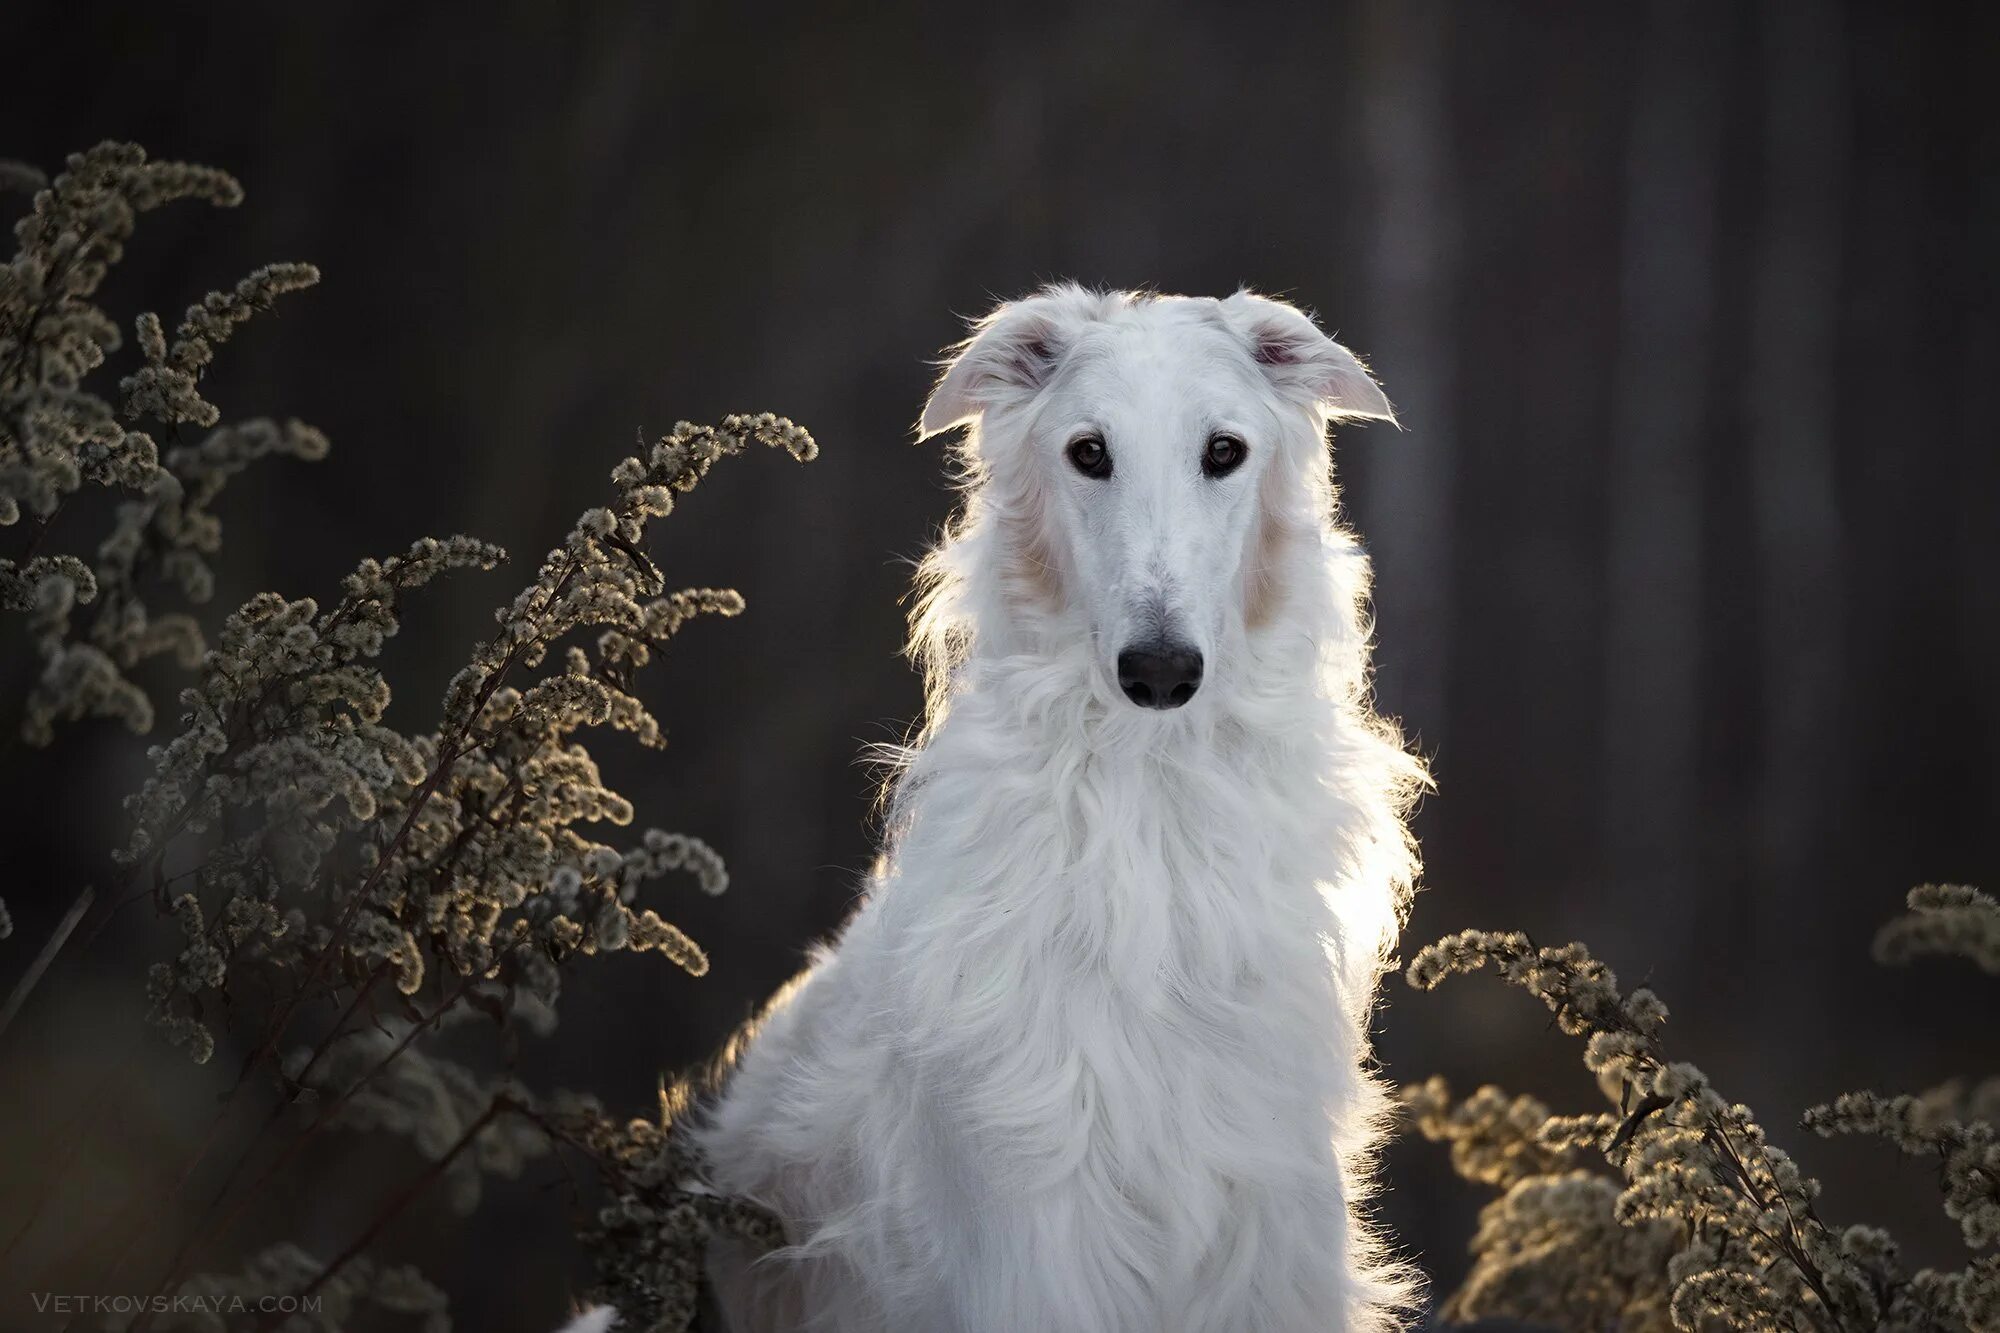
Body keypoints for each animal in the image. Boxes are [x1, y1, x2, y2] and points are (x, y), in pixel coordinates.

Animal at [688, 286, 1424, 1320]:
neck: (1150, 804)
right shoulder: (1037, 1229)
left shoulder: (1267, 1223)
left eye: (1224, 450)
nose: (1160, 672)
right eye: (1089, 451)